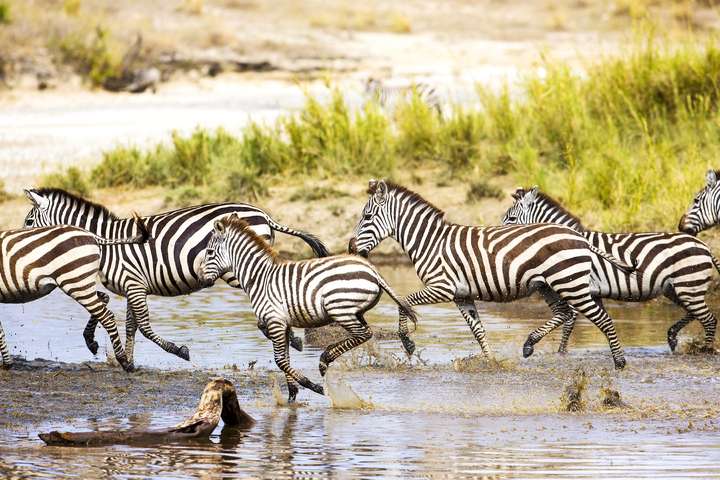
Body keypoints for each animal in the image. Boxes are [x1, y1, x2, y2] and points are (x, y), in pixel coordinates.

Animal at [0, 219, 149, 371]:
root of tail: (91, 235)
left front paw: (6, 364)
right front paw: (7, 363)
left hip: (76, 282)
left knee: (107, 316)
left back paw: (124, 361)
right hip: (81, 282)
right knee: (103, 299)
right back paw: (91, 342)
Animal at [22, 188, 330, 364]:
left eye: (28, 221)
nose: (21, 245)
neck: (106, 243)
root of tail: (263, 214)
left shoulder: (133, 284)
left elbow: (143, 327)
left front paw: (178, 351)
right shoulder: (132, 286)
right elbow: (129, 325)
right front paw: (127, 360)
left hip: (237, 268)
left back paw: (292, 339)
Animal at [198, 215, 417, 402]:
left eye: (209, 253)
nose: (201, 280)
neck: (259, 278)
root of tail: (371, 270)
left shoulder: (275, 321)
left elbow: (280, 360)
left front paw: (314, 387)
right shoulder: (282, 323)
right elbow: (285, 358)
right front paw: (291, 395)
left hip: (340, 310)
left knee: (363, 334)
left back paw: (325, 359)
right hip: (355, 312)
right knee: (366, 332)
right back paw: (326, 358)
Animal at [347, 180, 635, 369]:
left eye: (367, 216)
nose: (351, 248)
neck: (430, 242)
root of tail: (579, 235)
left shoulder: (442, 287)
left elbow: (404, 302)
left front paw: (407, 342)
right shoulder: (461, 295)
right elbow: (477, 330)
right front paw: (490, 360)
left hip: (570, 283)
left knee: (601, 319)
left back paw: (620, 362)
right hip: (550, 285)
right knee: (563, 313)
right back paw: (529, 344)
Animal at [502, 186, 718, 353]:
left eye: (511, 218)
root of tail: (705, 246)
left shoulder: (575, 286)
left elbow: (569, 321)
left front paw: (560, 353)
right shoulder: (590, 291)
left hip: (688, 285)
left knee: (708, 319)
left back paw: (704, 350)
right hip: (676, 288)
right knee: (695, 313)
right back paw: (673, 337)